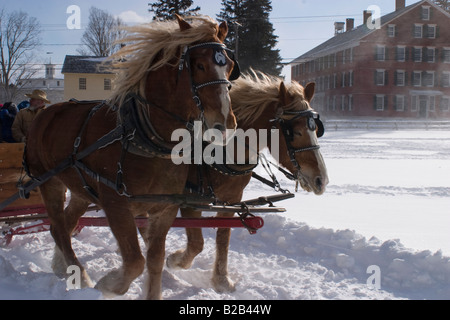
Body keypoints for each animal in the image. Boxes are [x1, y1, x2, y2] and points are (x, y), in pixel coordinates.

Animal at [24, 15, 237, 300]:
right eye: (200, 65)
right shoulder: (116, 204)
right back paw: (79, 275)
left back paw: (62, 267)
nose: (225, 124)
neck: (146, 138)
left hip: (82, 190)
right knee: (58, 228)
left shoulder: (164, 208)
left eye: (230, 67)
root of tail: (45, 113)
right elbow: (135, 261)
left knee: (65, 226)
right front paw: (109, 284)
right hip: (48, 181)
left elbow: (154, 260)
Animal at [167, 72, 328, 292]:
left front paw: (221, 280)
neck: (221, 153)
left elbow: (223, 237)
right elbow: (196, 242)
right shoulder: (189, 199)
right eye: (294, 132)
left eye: (316, 129)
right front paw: (174, 261)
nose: (321, 180)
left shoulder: (231, 199)